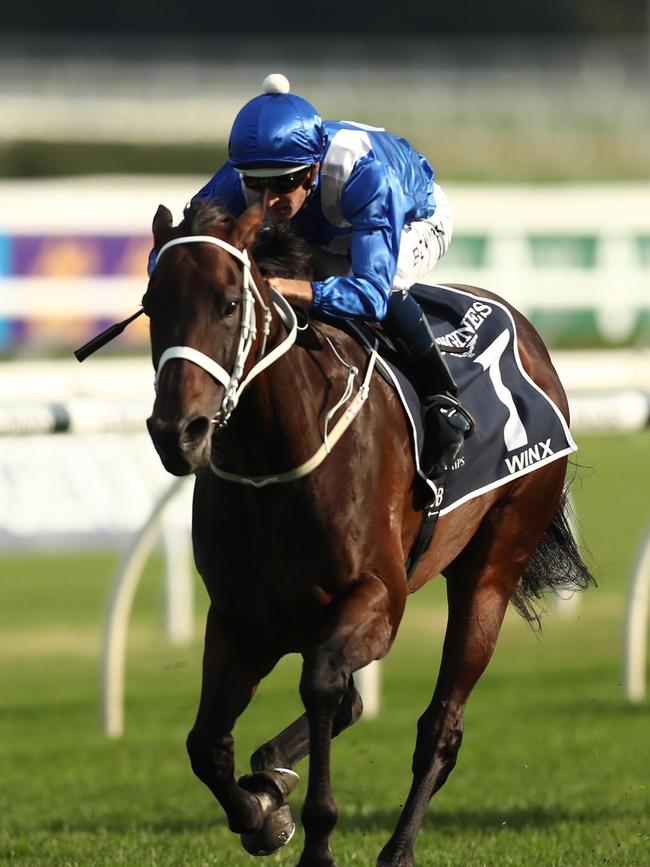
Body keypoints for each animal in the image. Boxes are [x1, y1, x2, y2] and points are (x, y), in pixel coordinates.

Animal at [144, 198, 588, 867]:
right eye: (151, 304)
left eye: (227, 302)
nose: (178, 433)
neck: (277, 458)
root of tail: (531, 336)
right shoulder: (241, 617)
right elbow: (207, 744)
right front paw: (263, 810)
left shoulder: (377, 598)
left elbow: (322, 684)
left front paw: (315, 837)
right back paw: (273, 774)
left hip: (495, 562)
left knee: (440, 725)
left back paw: (397, 849)